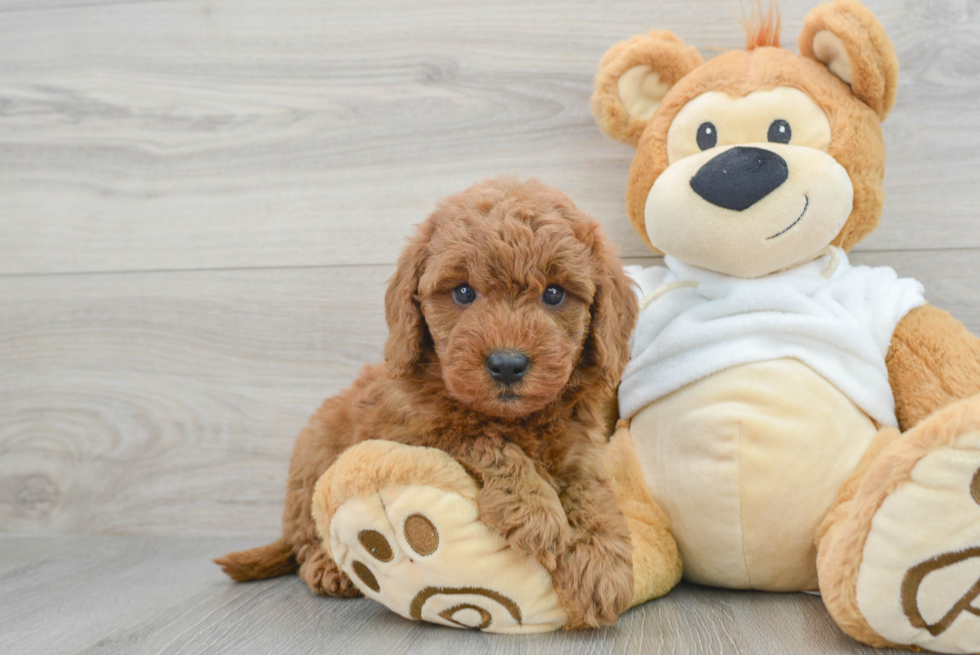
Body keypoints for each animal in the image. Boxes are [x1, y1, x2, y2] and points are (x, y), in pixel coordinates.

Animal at [217, 177, 640, 628]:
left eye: (555, 294)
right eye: (463, 292)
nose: (507, 365)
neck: (517, 418)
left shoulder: (581, 447)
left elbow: (592, 493)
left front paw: (600, 565)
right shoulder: (418, 430)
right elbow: (484, 440)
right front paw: (535, 511)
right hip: (313, 461)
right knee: (306, 537)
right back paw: (330, 568)